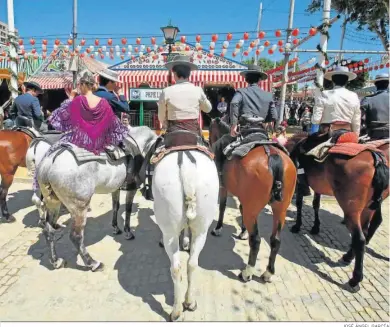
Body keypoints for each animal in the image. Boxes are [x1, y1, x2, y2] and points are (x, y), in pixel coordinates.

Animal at [37, 127, 157, 270]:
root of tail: (50, 161)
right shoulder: (131, 189)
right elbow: (128, 209)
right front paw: (128, 232)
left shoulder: (115, 188)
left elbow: (115, 207)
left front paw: (116, 228)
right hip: (79, 208)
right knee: (76, 236)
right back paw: (92, 263)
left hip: (53, 203)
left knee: (49, 230)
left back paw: (56, 261)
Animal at [152, 150, 219, 322]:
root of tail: (187, 165)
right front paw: (187, 241)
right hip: (201, 230)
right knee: (191, 264)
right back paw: (188, 302)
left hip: (169, 232)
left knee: (176, 268)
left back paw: (176, 311)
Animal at [210, 119, 296, 284]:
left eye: (210, 130)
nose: (209, 141)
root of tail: (273, 156)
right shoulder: (244, 197)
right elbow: (241, 208)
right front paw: (243, 231)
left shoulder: (223, 187)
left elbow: (223, 206)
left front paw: (218, 228)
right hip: (280, 209)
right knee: (275, 240)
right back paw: (268, 272)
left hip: (254, 208)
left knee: (256, 240)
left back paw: (247, 272)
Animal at [284, 132, 388, 290]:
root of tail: (377, 160)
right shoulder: (318, 186)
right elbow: (315, 204)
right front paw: (315, 227)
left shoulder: (300, 184)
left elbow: (300, 203)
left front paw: (297, 226)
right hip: (367, 209)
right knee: (365, 232)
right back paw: (348, 257)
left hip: (351, 209)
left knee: (359, 239)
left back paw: (355, 279)